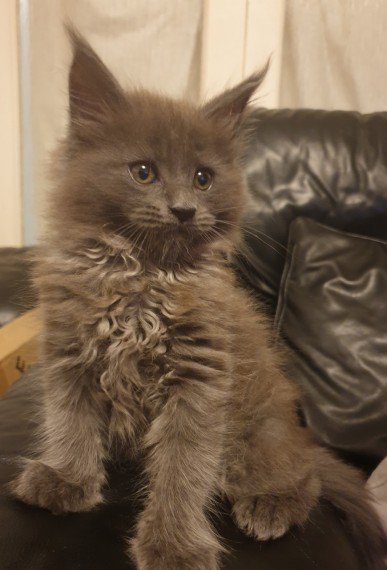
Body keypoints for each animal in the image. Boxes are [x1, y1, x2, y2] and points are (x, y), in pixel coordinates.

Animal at [10, 27, 386, 568]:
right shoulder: (69, 354)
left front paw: (174, 544)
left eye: (203, 178)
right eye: (144, 172)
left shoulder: (200, 377)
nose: (184, 209)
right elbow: (69, 422)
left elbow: (182, 470)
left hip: (257, 431)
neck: (142, 278)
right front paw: (67, 479)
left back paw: (270, 505)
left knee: (304, 478)